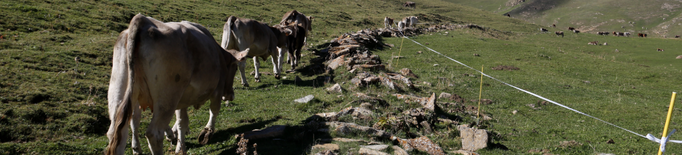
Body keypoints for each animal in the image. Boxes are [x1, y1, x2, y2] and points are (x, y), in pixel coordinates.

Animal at [107, 13, 251, 154]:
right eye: (234, 68)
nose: (231, 95)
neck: (219, 54)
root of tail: (142, 21)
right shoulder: (217, 89)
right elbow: (213, 111)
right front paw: (206, 132)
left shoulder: (183, 97)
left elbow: (182, 120)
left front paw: (178, 141)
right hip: (167, 97)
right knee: (154, 134)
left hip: (120, 90)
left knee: (121, 129)